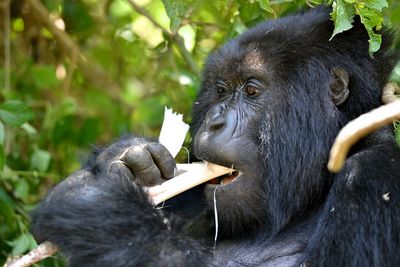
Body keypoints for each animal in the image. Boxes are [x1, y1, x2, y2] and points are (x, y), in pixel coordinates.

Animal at [31, 6, 400, 267]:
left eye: (251, 90)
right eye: (221, 91)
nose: (214, 122)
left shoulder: (372, 174)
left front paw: (96, 205)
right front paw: (130, 159)